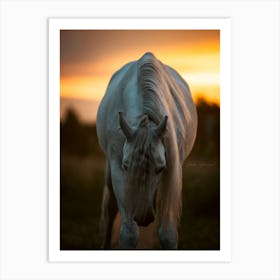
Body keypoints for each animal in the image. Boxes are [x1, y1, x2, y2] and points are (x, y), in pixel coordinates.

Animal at [96, 51, 197, 248]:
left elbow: (168, 234)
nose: (142, 217)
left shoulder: (173, 171)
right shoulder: (118, 168)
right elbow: (129, 233)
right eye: (126, 166)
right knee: (110, 208)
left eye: (160, 168)